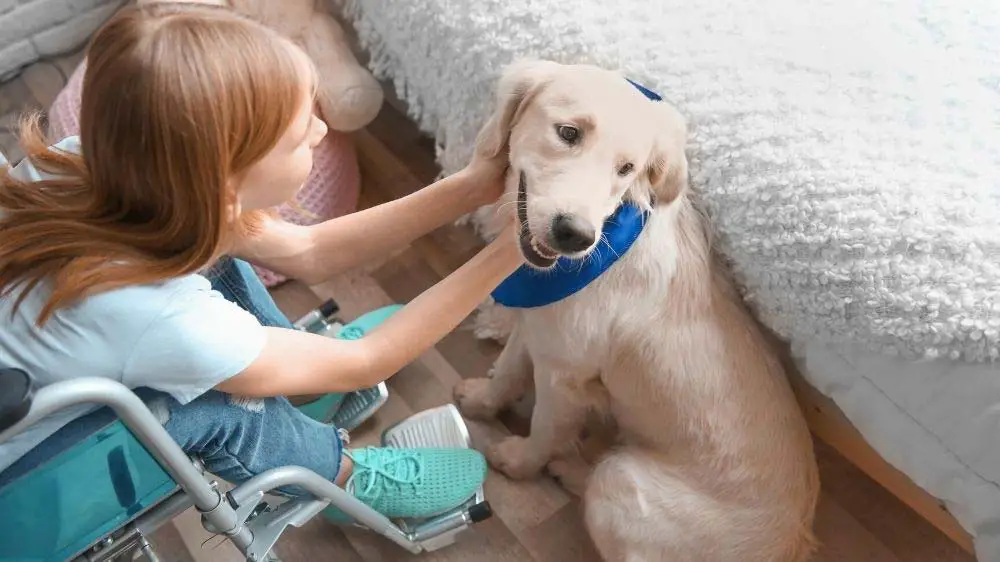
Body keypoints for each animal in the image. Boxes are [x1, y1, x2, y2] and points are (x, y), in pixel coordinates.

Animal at [454, 61, 820, 560]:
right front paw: (483, 400)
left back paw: (571, 467)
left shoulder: (565, 376)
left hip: (620, 482)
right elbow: (509, 371)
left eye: (626, 168)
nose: (575, 235)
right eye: (568, 133)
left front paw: (521, 461)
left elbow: (544, 426)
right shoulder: (540, 331)